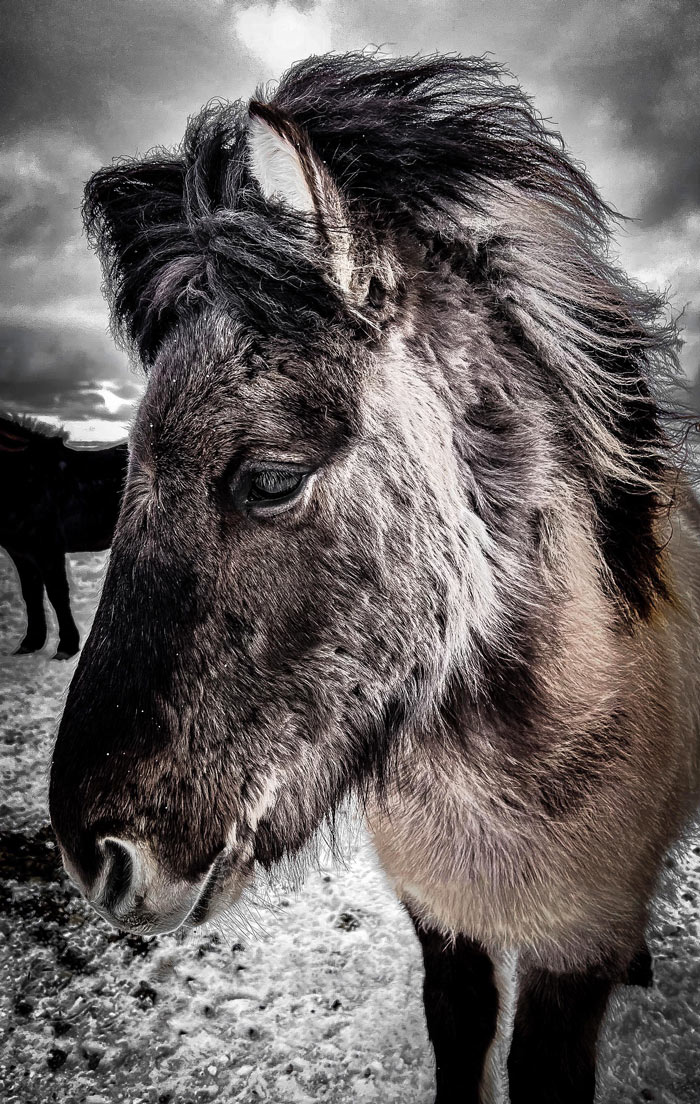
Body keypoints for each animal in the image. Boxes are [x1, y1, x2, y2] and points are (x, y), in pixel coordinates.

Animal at [0, 414, 128, 658]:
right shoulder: (21, 553)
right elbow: (31, 594)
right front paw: (31, 642)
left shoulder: (49, 550)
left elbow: (57, 595)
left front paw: (67, 646)